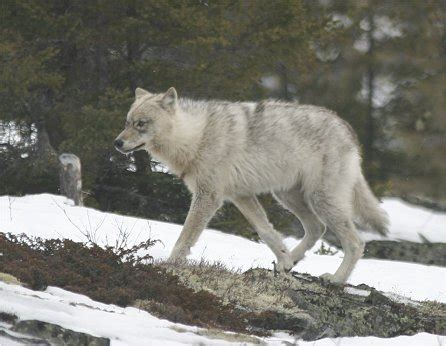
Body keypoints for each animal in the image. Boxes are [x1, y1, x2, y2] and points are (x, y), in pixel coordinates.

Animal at [115, 86, 390, 284]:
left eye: (141, 124)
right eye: (127, 122)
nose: (117, 143)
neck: (196, 137)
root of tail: (346, 127)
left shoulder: (209, 197)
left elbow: (184, 237)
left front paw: (169, 264)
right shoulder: (241, 196)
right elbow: (266, 232)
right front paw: (283, 259)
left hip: (320, 200)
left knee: (355, 243)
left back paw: (336, 280)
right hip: (288, 197)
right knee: (316, 229)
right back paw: (291, 261)